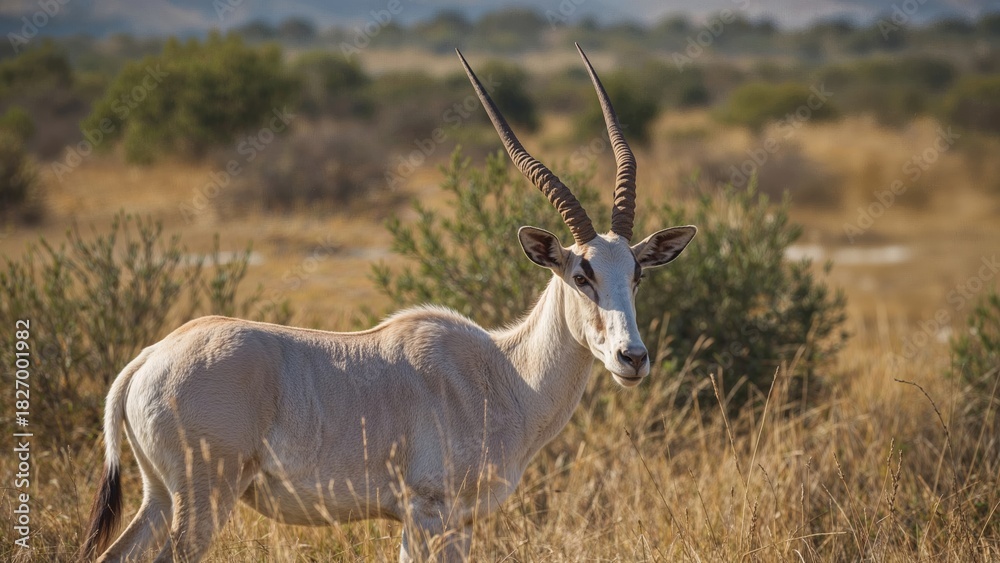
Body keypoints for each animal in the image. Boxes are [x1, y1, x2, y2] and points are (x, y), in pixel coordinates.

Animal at [79, 44, 697, 563]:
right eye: (580, 273)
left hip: (160, 497)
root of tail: (148, 360)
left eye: (637, 272)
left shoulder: (453, 522)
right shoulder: (429, 513)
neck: (506, 374)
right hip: (202, 500)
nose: (632, 359)